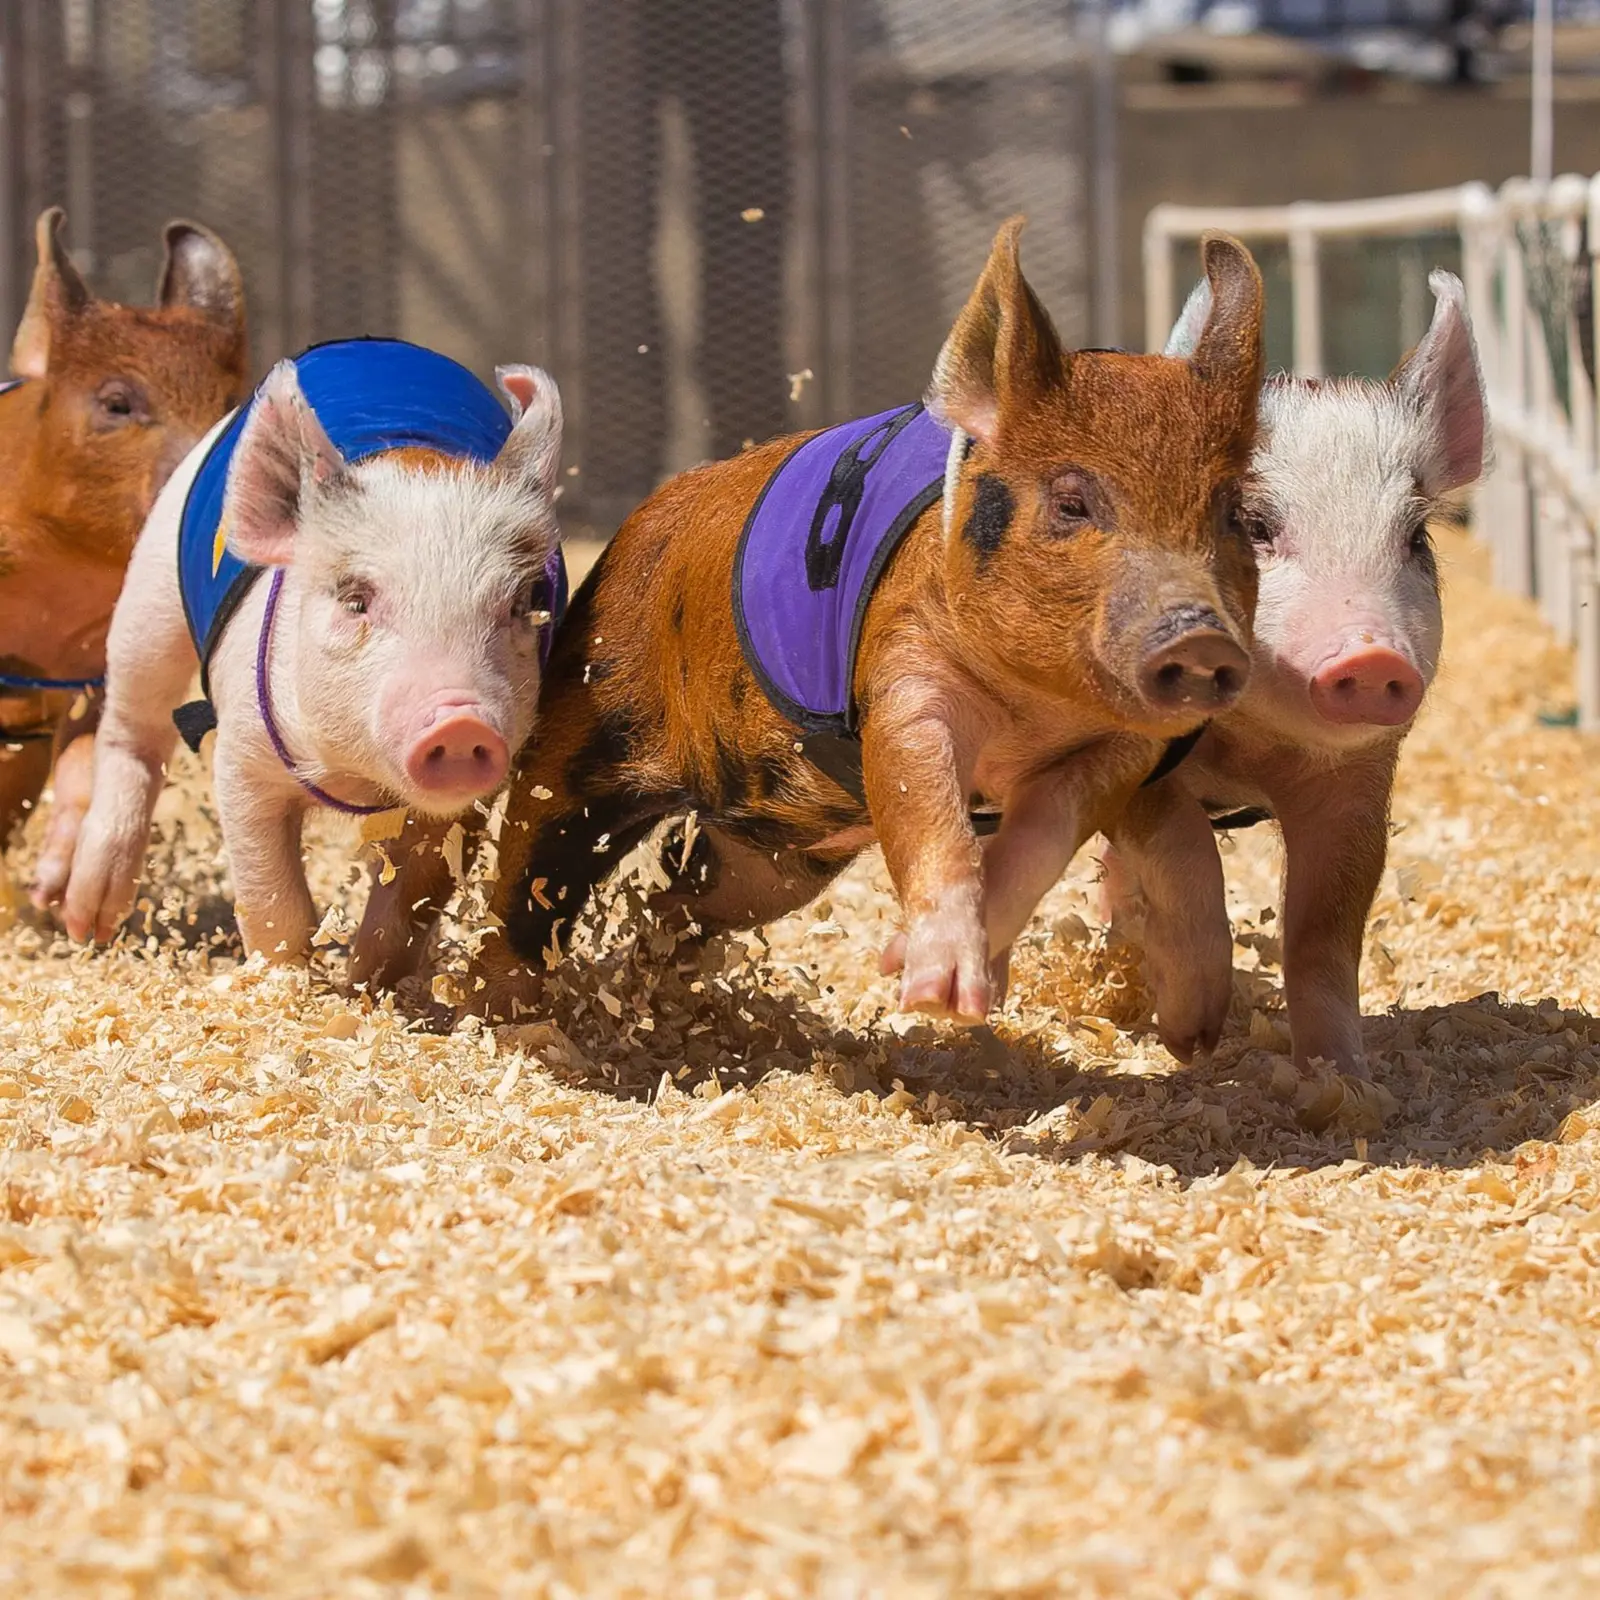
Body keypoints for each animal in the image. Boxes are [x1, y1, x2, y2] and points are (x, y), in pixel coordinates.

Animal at [58, 338, 568, 983]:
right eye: (356, 600)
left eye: (519, 605)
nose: (459, 721)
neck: (355, 779)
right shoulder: (242, 754)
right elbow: (275, 899)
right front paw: (289, 982)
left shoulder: (466, 802)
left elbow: (410, 902)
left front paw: (367, 986)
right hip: (149, 596)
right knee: (132, 727)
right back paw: (89, 925)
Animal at [442, 218, 1267, 1024]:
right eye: (1071, 501)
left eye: (1238, 516)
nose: (1200, 634)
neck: (1032, 716)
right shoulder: (902, 669)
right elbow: (922, 797)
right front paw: (936, 996)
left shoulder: (1118, 754)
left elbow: (1040, 842)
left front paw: (951, 987)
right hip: (588, 724)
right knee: (535, 876)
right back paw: (499, 1006)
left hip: (773, 863)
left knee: (683, 896)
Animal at [1100, 268, 1489, 1076]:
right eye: (1253, 525)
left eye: (1415, 537)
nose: (1371, 655)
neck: (1248, 753)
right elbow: (1183, 847)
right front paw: (1191, 1040)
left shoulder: (1357, 784)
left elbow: (1325, 929)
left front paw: (1342, 1080)